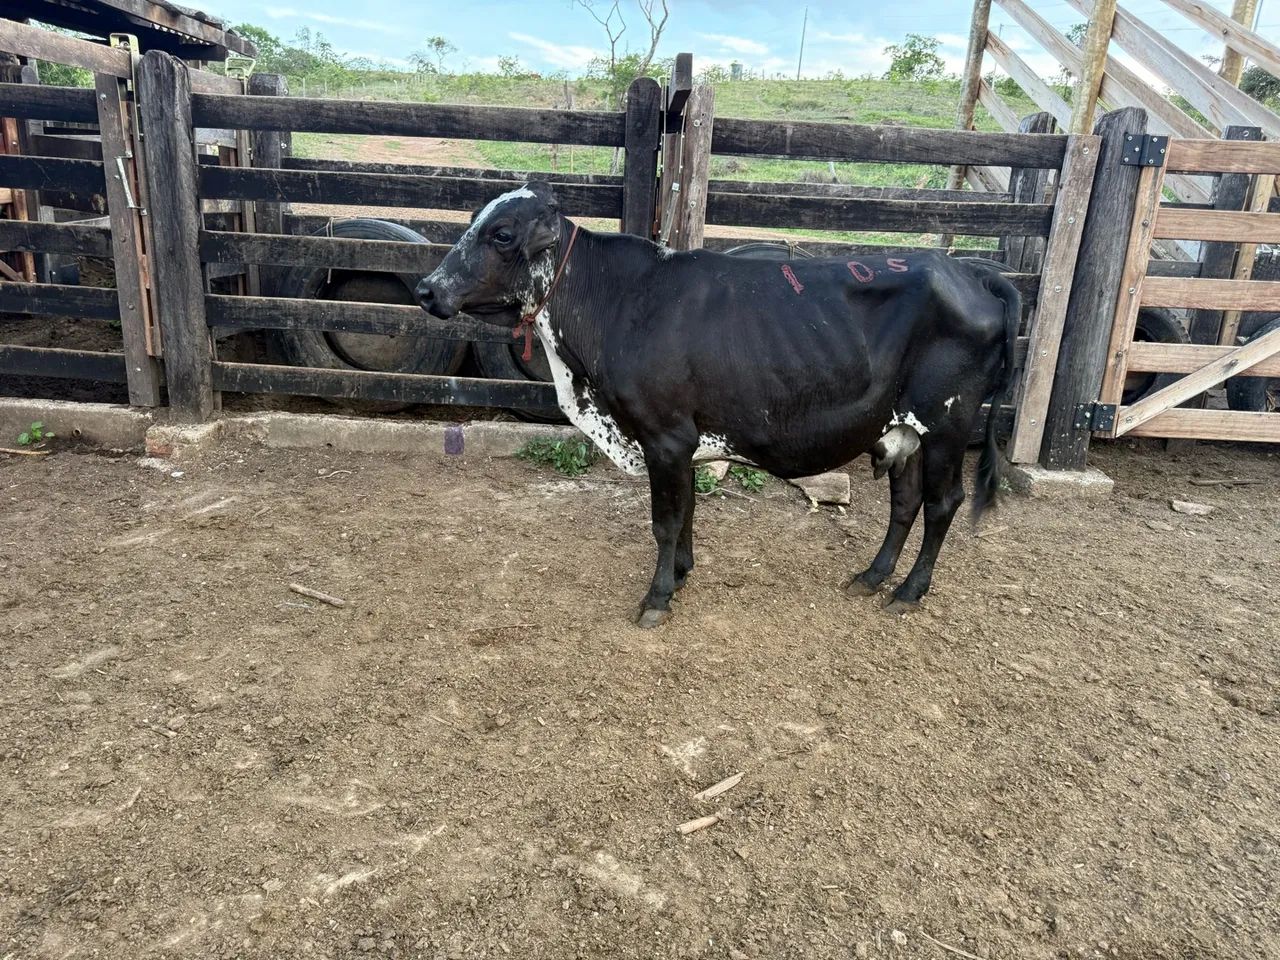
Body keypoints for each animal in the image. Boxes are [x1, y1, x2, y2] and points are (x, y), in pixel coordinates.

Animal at [416, 182, 1019, 628]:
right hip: (901, 430)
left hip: (947, 423)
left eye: (501, 233)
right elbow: (685, 513)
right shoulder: (683, 442)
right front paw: (682, 573)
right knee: (906, 501)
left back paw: (909, 591)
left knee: (943, 504)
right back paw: (872, 578)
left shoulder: (664, 437)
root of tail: (969, 270)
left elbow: (664, 520)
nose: (425, 290)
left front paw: (657, 598)